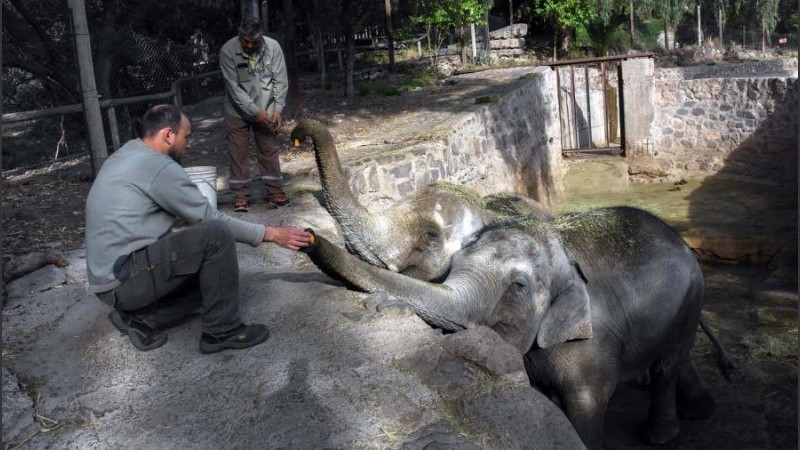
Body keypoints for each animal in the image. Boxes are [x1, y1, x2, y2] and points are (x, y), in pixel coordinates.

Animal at [302, 207, 732, 450]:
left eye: (518, 287)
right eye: (454, 264)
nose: (306, 235)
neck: (559, 247)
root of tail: (680, 240)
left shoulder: (591, 346)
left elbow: (586, 403)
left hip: (690, 299)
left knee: (667, 364)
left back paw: (661, 435)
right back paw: (698, 410)